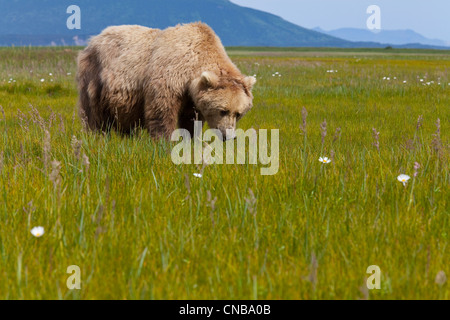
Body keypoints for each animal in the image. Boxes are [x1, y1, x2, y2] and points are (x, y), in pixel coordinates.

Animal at [77, 21, 256, 139]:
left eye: (238, 113)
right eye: (223, 110)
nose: (229, 136)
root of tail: (94, 38)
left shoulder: (192, 97)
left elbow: (191, 119)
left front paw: (192, 140)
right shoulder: (170, 75)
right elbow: (162, 111)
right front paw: (165, 141)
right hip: (95, 75)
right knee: (94, 114)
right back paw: (96, 136)